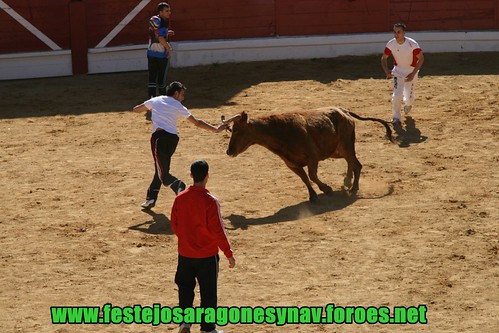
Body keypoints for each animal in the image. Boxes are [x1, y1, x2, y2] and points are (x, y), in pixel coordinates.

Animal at [227, 107, 394, 200]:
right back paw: (347, 182)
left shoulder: (313, 157)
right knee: (351, 163)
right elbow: (305, 178)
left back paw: (353, 188)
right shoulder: (292, 164)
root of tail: (344, 111)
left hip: (346, 146)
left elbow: (312, 176)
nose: (228, 151)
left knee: (357, 164)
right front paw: (312, 196)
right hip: (338, 150)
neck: (280, 131)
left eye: (236, 130)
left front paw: (327, 189)